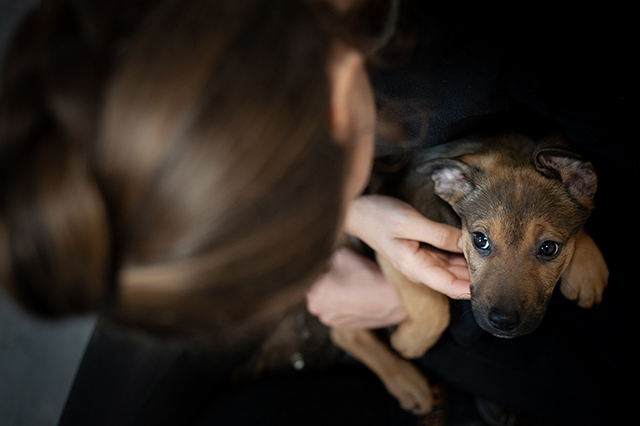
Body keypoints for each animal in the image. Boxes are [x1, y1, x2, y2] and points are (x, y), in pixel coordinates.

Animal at [332, 132, 608, 412]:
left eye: (549, 248)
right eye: (480, 240)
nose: (502, 322)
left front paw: (589, 268)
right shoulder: (394, 248)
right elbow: (433, 308)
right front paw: (408, 343)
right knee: (345, 333)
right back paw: (406, 382)